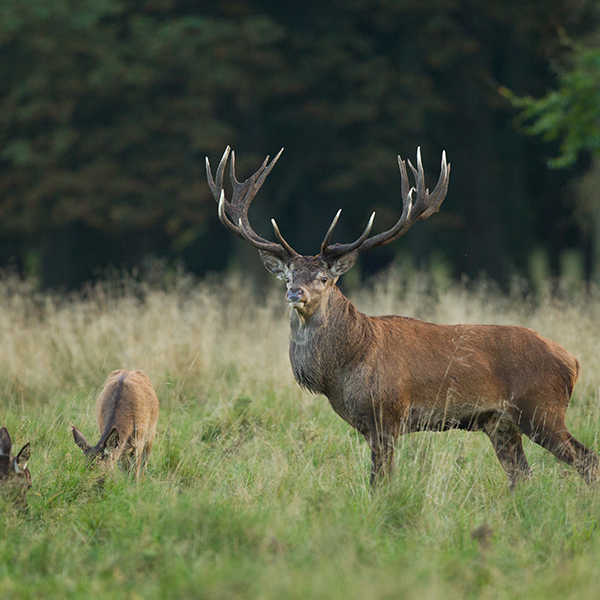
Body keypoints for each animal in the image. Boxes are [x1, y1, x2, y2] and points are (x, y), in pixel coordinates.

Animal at [207, 145, 600, 488]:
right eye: (288, 276)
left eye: (323, 278)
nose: (295, 293)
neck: (342, 369)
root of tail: (572, 361)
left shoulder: (387, 415)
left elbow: (380, 483)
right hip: (500, 423)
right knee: (522, 476)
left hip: (541, 408)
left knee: (586, 461)